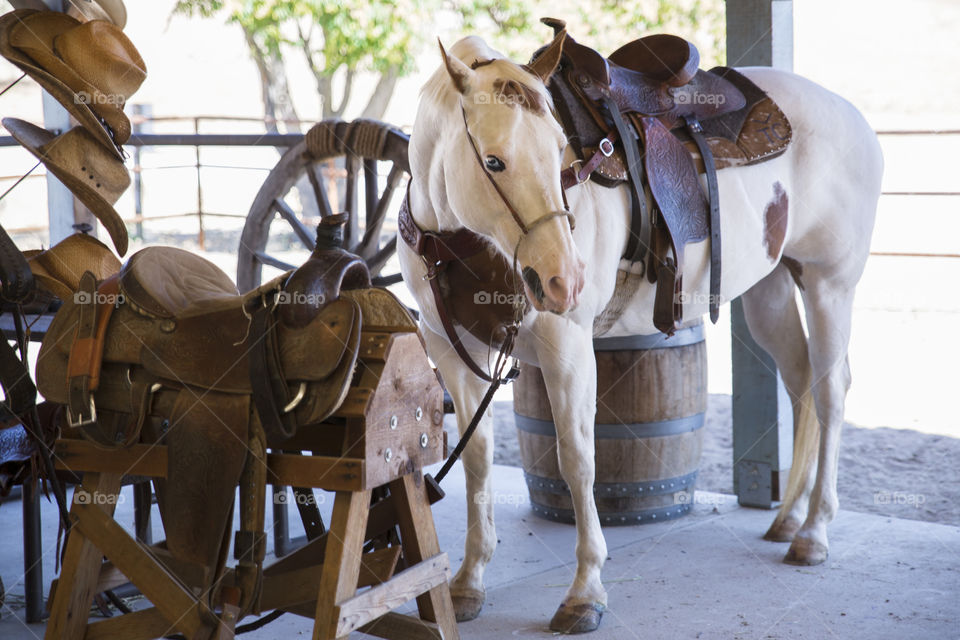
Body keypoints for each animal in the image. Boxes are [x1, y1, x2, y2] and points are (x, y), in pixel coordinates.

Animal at [398, 27, 884, 632]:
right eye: (494, 160)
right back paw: (790, 520)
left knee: (831, 390)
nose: (563, 279)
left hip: (828, 286)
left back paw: (815, 532)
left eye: (559, 147)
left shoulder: (567, 347)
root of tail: (853, 116)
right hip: (769, 289)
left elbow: (578, 460)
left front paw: (585, 593)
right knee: (801, 386)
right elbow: (478, 459)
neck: (459, 240)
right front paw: (468, 582)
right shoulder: (452, 349)